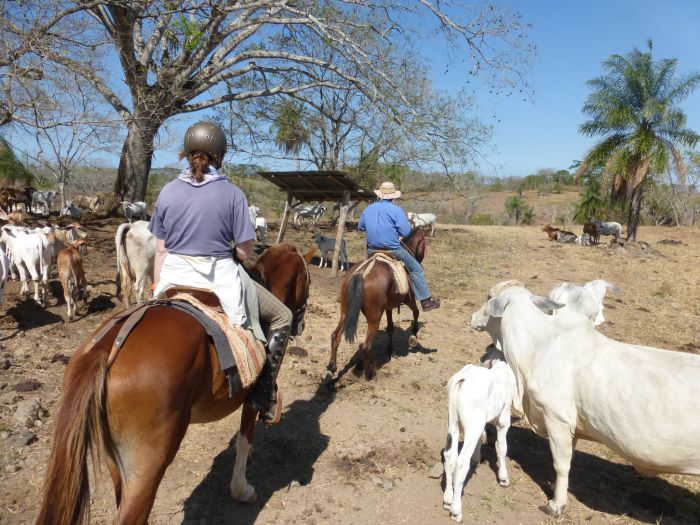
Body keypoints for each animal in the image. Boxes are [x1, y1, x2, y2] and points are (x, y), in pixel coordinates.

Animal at [34, 244, 314, 520]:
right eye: (308, 280)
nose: (300, 324)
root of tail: (106, 347)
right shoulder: (251, 399)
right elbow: (244, 440)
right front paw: (241, 488)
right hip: (147, 469)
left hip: (117, 464)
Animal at [328, 227, 426, 378]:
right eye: (425, 244)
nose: (420, 259)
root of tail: (362, 273)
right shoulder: (409, 299)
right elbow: (416, 312)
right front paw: (413, 336)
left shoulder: (389, 307)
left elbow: (390, 327)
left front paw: (390, 349)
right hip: (374, 319)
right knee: (366, 346)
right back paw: (369, 372)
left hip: (345, 312)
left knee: (335, 336)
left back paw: (332, 367)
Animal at [442, 360, 516, 520]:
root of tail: (463, 378)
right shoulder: (504, 419)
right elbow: (502, 447)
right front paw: (503, 477)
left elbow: (482, 438)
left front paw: (476, 458)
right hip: (472, 426)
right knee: (461, 463)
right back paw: (456, 511)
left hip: (453, 422)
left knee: (450, 456)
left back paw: (448, 500)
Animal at [468, 284, 700, 512]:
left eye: (488, 297)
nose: (472, 317)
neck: (537, 345)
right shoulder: (573, 425)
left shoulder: (557, 418)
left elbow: (561, 464)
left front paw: (556, 503)